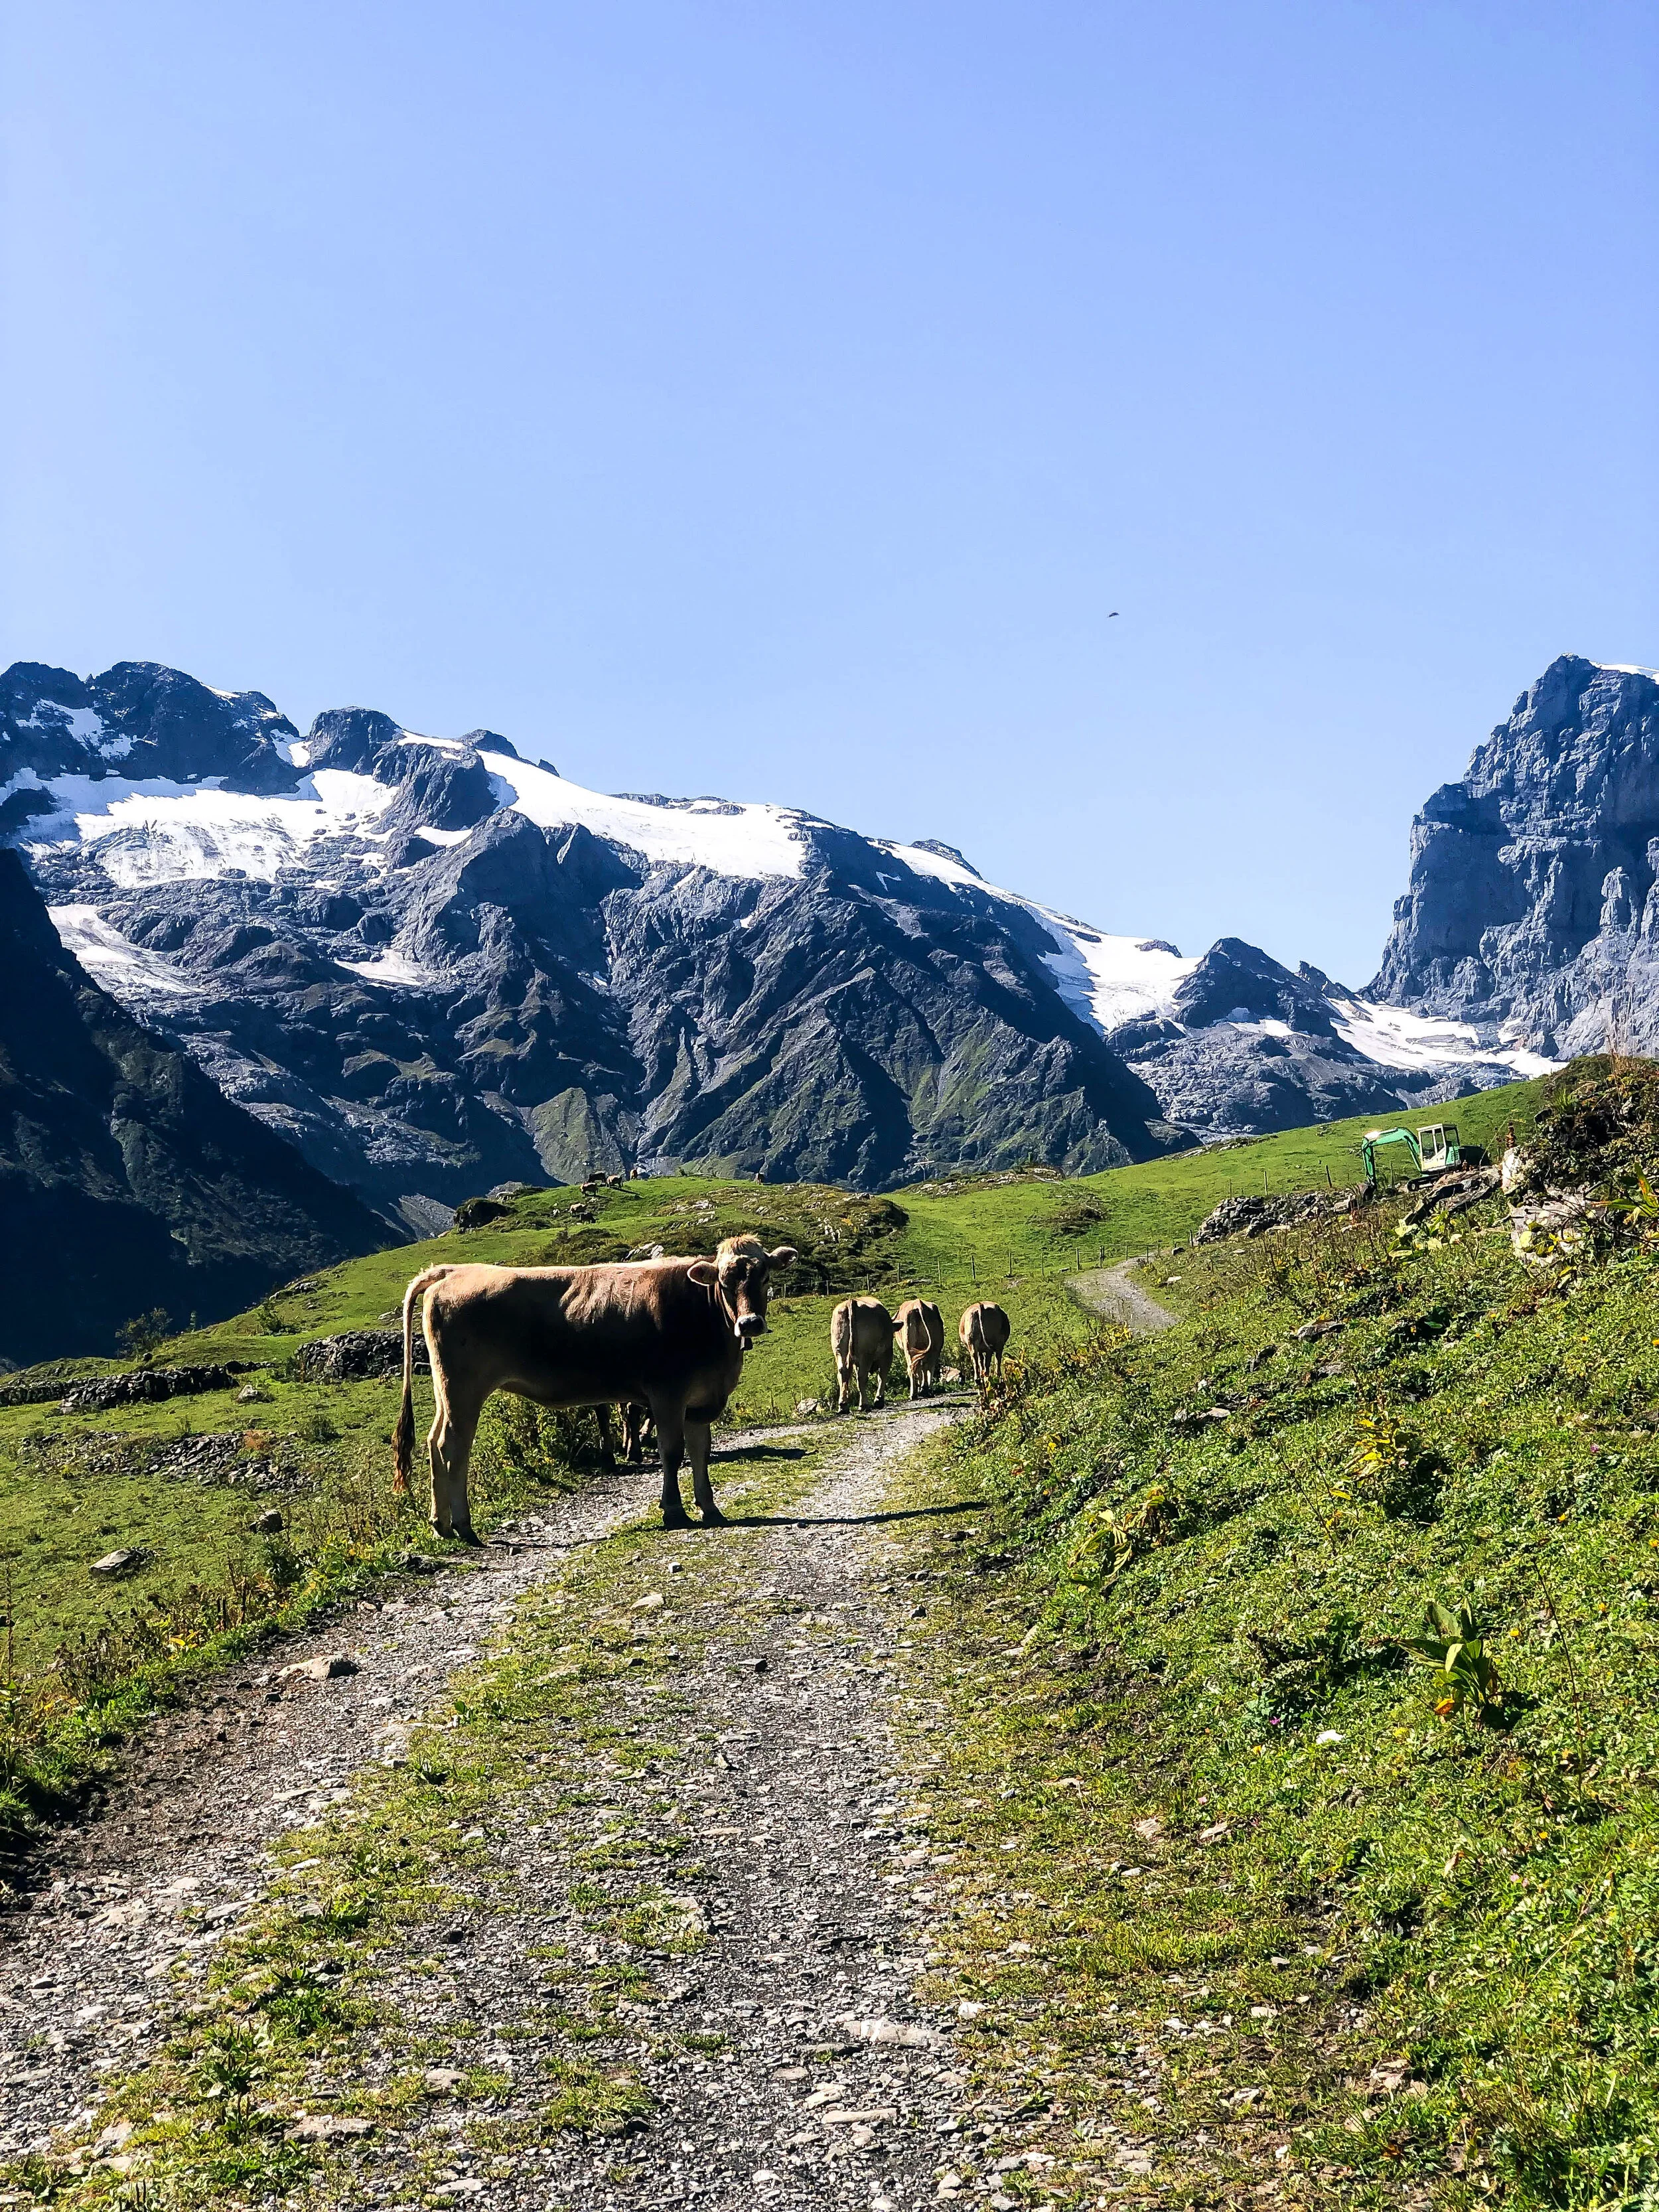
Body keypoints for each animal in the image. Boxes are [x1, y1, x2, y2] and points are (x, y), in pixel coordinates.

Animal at [393, 1234, 796, 1538]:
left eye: (764, 1276)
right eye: (725, 1282)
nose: (750, 1323)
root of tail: (453, 1271)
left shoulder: (701, 1400)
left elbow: (701, 1452)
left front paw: (710, 1508)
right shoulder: (667, 1394)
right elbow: (672, 1451)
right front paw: (673, 1510)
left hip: (446, 1389)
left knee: (434, 1440)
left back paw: (441, 1523)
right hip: (463, 1388)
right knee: (452, 1445)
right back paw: (463, 1525)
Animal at [830, 1296, 898, 1412]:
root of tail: (852, 1301)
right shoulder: (887, 1354)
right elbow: (882, 1376)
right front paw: (879, 1400)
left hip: (839, 1350)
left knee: (843, 1373)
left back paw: (843, 1405)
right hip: (866, 1354)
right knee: (862, 1377)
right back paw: (864, 1404)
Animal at [894, 1297, 945, 1399]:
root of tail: (919, 1304)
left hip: (909, 1348)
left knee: (914, 1367)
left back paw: (915, 1393)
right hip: (933, 1347)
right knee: (927, 1366)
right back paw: (924, 1391)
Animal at [959, 1300, 1011, 1387]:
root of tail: (980, 1307)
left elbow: (981, 1360)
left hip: (972, 1341)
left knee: (975, 1359)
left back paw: (978, 1380)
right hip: (995, 1343)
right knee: (993, 1360)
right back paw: (993, 1377)